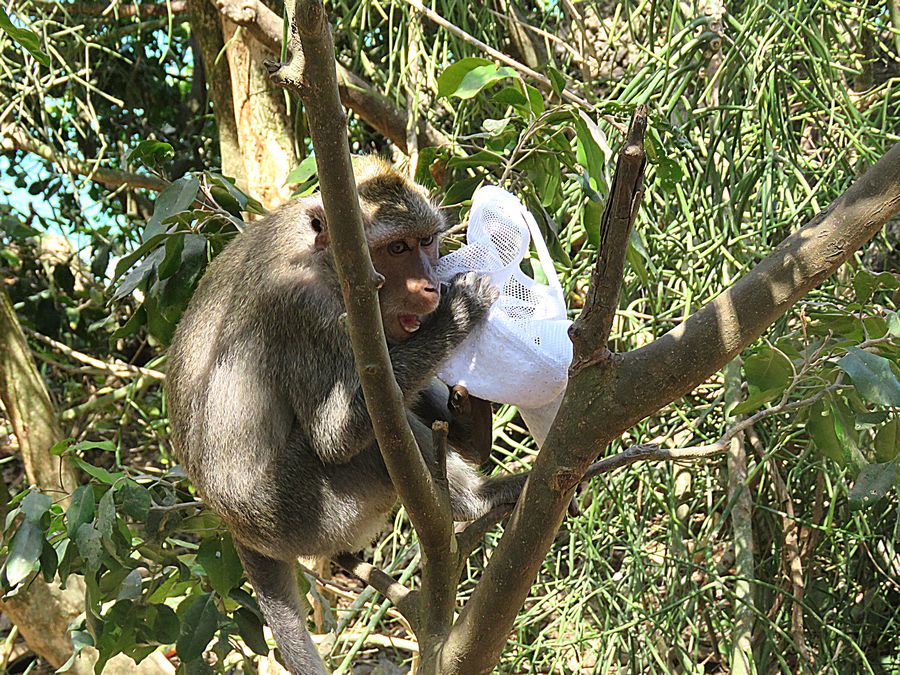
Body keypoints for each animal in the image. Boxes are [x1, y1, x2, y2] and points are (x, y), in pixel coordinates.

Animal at [164, 157, 526, 674]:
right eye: (396, 248)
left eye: (426, 241)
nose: (429, 286)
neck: (326, 263)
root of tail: (238, 528)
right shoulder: (303, 307)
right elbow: (334, 435)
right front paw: (460, 311)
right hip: (305, 509)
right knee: (377, 441)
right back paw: (475, 500)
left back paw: (471, 432)